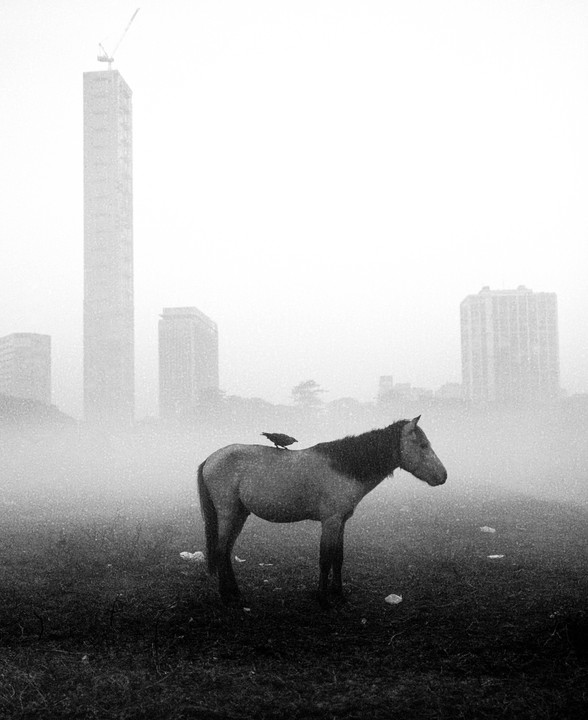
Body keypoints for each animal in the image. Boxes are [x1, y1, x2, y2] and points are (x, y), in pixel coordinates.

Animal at [196, 416, 447, 607]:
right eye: (423, 445)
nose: (443, 476)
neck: (345, 467)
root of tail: (210, 459)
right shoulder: (330, 521)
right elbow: (325, 558)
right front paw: (323, 598)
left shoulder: (341, 522)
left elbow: (338, 557)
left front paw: (339, 594)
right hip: (228, 514)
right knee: (220, 551)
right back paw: (226, 596)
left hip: (239, 515)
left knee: (226, 551)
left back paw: (236, 592)